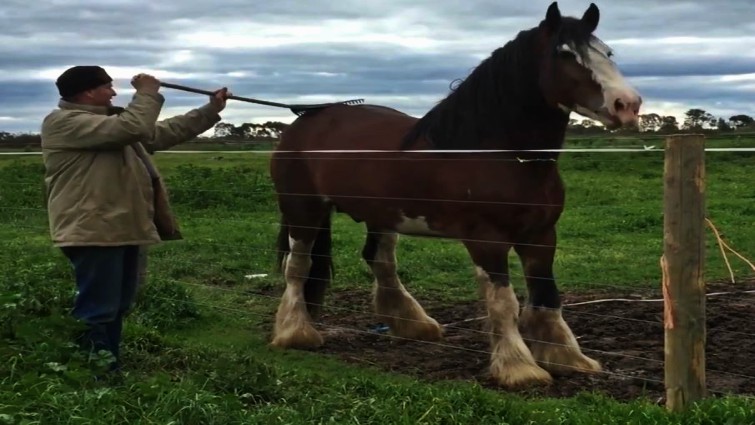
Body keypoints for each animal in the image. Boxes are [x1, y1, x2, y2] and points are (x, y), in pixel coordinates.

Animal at [268, 1, 642, 388]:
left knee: (379, 260)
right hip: (302, 210)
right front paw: (518, 368)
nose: (627, 105)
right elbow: (504, 303)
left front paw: (566, 357)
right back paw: (296, 333)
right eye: (565, 53)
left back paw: (414, 324)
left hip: (381, 215)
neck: (502, 154)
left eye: (607, 53)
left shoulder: (541, 236)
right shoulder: (486, 240)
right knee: (298, 267)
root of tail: (305, 121)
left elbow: (547, 296)